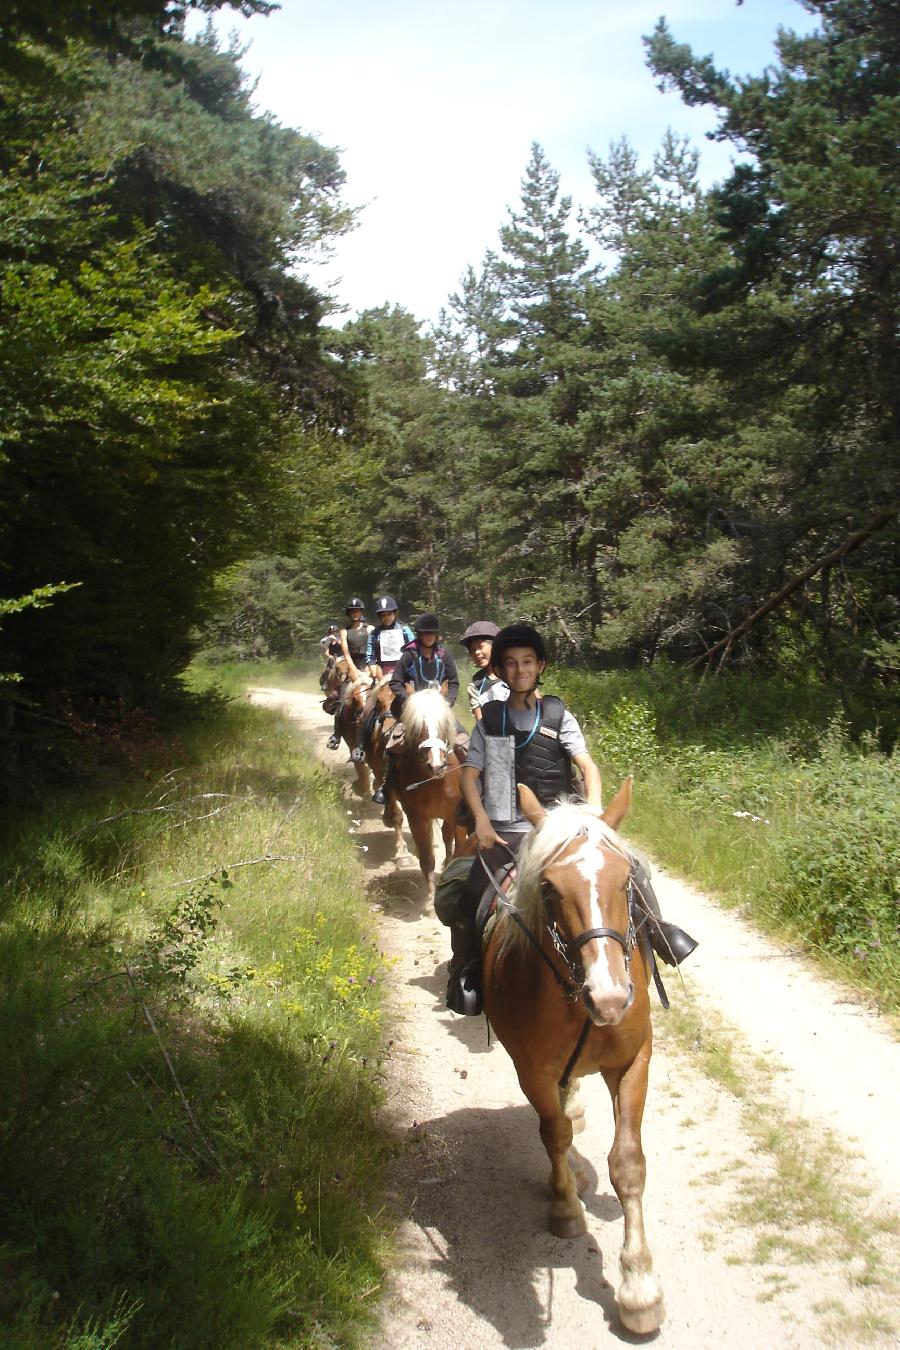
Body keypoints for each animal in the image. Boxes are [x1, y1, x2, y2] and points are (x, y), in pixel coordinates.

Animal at [391, 691, 469, 901]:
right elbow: (427, 858)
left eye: (443, 726)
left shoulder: (457, 818)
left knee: (448, 837)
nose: (436, 766)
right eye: (418, 728)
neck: (436, 783)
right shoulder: (417, 818)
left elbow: (458, 853)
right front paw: (430, 900)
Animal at [483, 777, 666, 1333]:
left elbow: (628, 1164)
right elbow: (554, 1133)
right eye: (548, 888)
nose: (609, 998)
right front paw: (565, 1208)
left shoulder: (632, 1063)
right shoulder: (532, 1071)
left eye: (627, 882)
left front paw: (638, 1287)